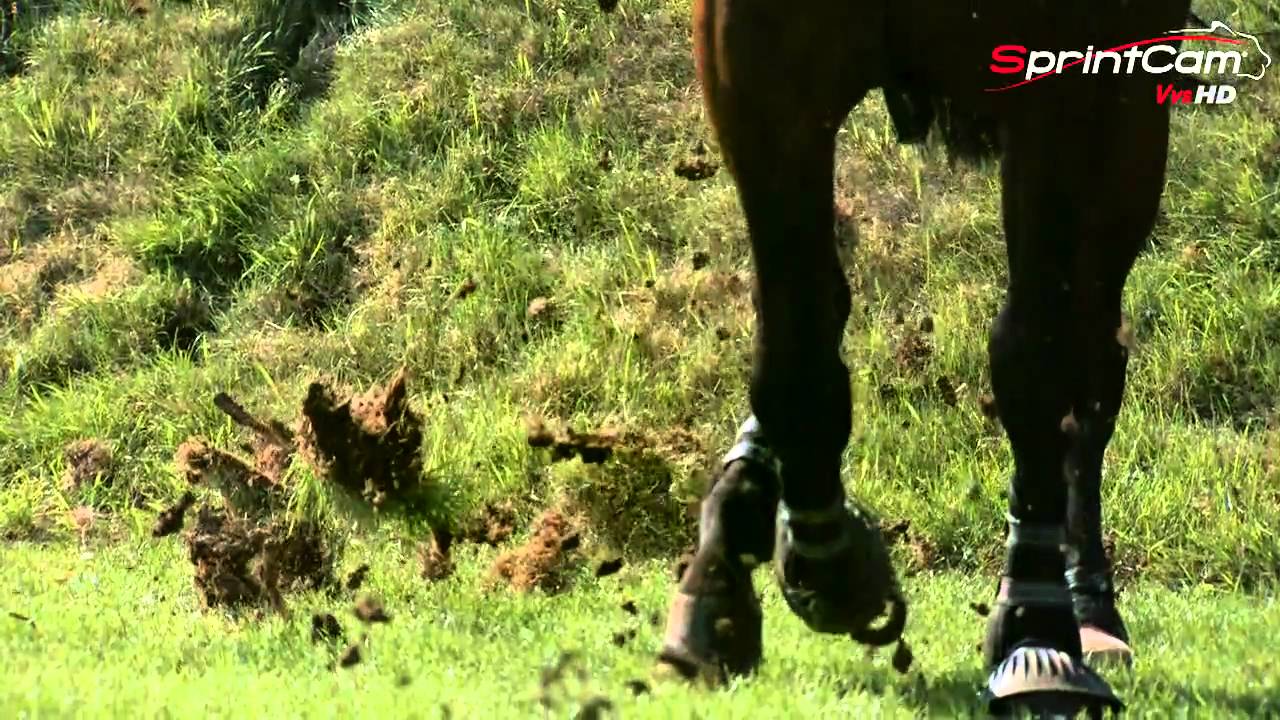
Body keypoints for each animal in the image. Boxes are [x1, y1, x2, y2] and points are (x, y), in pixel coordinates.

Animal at [597, 0, 1201, 715]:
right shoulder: (755, 54)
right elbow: (798, 331)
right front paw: (818, 557)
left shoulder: (1072, 77)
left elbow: (1035, 354)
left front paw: (1037, 626)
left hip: (1126, 133)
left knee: (1091, 355)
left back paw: (1089, 610)